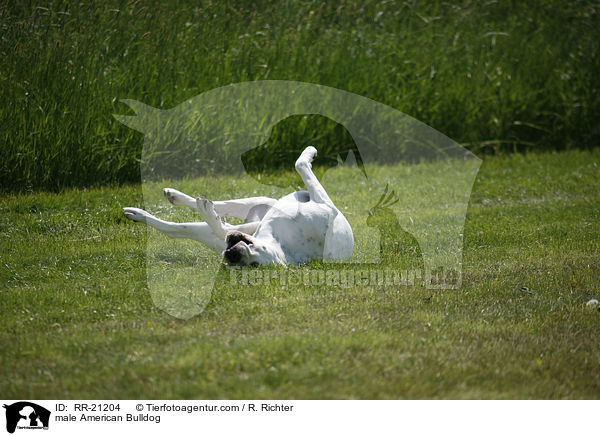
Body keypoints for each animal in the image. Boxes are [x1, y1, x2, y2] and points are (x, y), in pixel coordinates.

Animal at [123, 146, 354, 264]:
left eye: (254, 265)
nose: (232, 255)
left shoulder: (326, 206)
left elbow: (300, 163)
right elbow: (300, 162)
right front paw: (310, 151)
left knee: (178, 229)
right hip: (257, 202)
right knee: (220, 208)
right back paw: (174, 197)